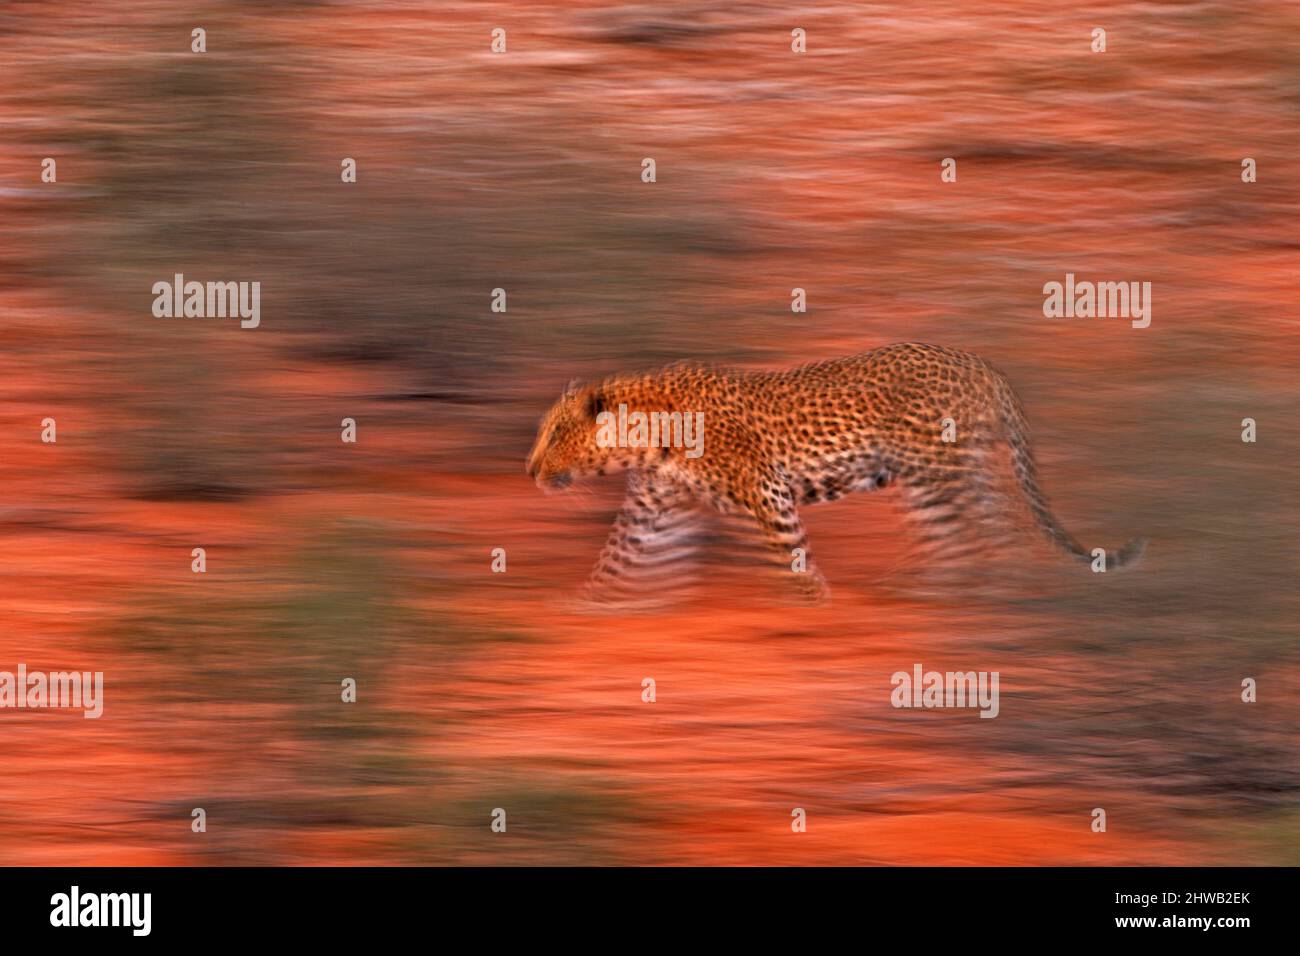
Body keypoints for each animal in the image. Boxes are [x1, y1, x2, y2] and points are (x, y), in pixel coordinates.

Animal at [525, 342, 1145, 605]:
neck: (647, 440)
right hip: (953, 474)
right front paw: (588, 605)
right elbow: (618, 560)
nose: (528, 469)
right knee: (995, 530)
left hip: (935, 473)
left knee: (971, 538)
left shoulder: (766, 492)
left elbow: (790, 556)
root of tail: (982, 364)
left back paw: (949, 593)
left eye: (554, 434)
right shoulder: (655, 509)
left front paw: (814, 604)